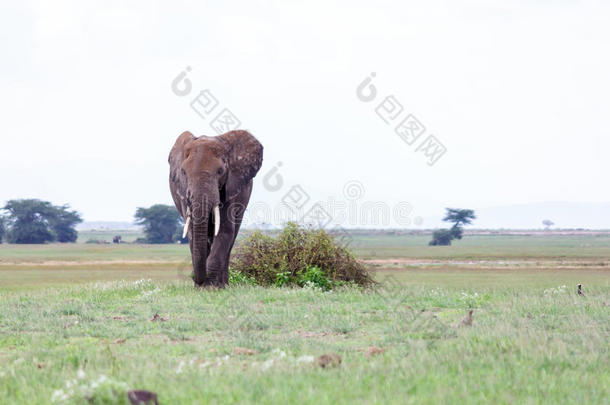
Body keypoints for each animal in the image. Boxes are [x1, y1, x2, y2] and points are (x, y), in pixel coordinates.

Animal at [167, 131, 262, 286]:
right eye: (184, 172)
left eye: (220, 171)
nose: (196, 280)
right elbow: (193, 232)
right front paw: (201, 286)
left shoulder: (230, 187)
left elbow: (225, 230)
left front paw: (211, 287)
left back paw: (224, 285)